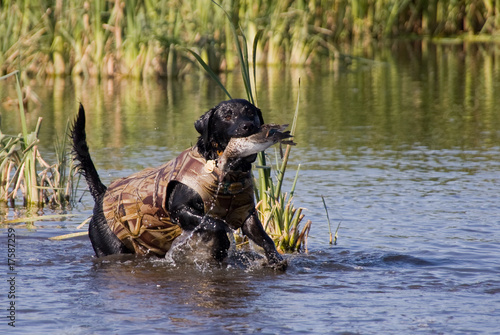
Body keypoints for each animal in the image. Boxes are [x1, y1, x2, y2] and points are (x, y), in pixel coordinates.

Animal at [72, 99, 288, 270]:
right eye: (227, 115)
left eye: (250, 113)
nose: (248, 126)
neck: (226, 172)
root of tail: (102, 194)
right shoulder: (179, 209)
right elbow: (216, 224)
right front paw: (222, 245)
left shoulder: (245, 213)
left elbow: (263, 236)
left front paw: (275, 259)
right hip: (111, 245)